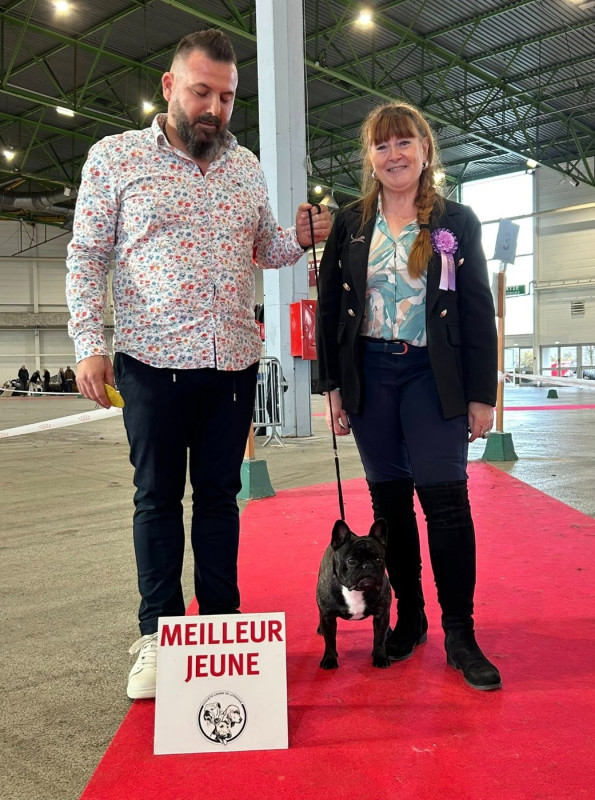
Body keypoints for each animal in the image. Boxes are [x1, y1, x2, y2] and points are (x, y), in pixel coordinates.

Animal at [316, 518, 392, 669]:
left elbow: (379, 639)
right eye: (351, 560)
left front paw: (380, 657)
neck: (355, 590)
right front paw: (330, 659)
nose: (367, 565)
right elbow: (330, 641)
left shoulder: (382, 615)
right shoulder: (327, 617)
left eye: (379, 559)